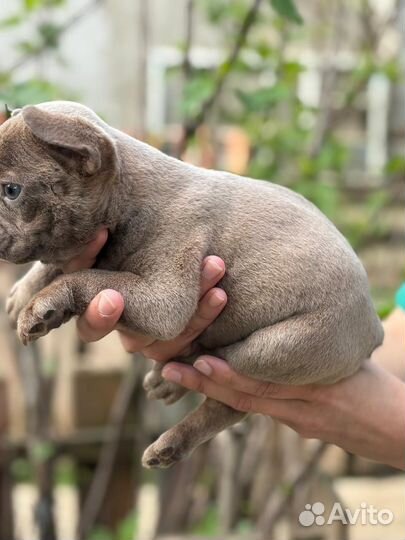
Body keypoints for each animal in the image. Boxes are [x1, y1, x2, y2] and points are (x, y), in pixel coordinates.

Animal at [0, 101, 384, 468]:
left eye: (11, 191)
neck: (127, 196)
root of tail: (374, 328)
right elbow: (59, 264)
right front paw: (23, 294)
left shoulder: (164, 298)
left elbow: (91, 277)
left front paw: (44, 303)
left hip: (278, 347)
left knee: (225, 386)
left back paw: (173, 397)